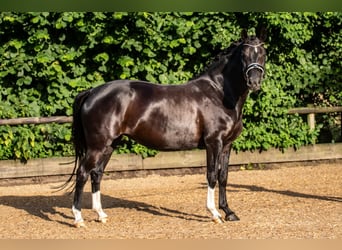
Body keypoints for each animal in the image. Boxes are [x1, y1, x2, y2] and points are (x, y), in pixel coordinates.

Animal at [69, 28, 268, 227]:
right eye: (243, 55)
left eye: (263, 54)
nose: (254, 82)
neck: (218, 94)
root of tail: (91, 92)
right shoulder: (214, 143)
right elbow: (211, 175)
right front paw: (214, 213)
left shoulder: (227, 144)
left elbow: (223, 176)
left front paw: (229, 212)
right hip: (97, 146)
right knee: (82, 173)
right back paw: (79, 218)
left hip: (110, 145)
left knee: (97, 173)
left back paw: (100, 214)